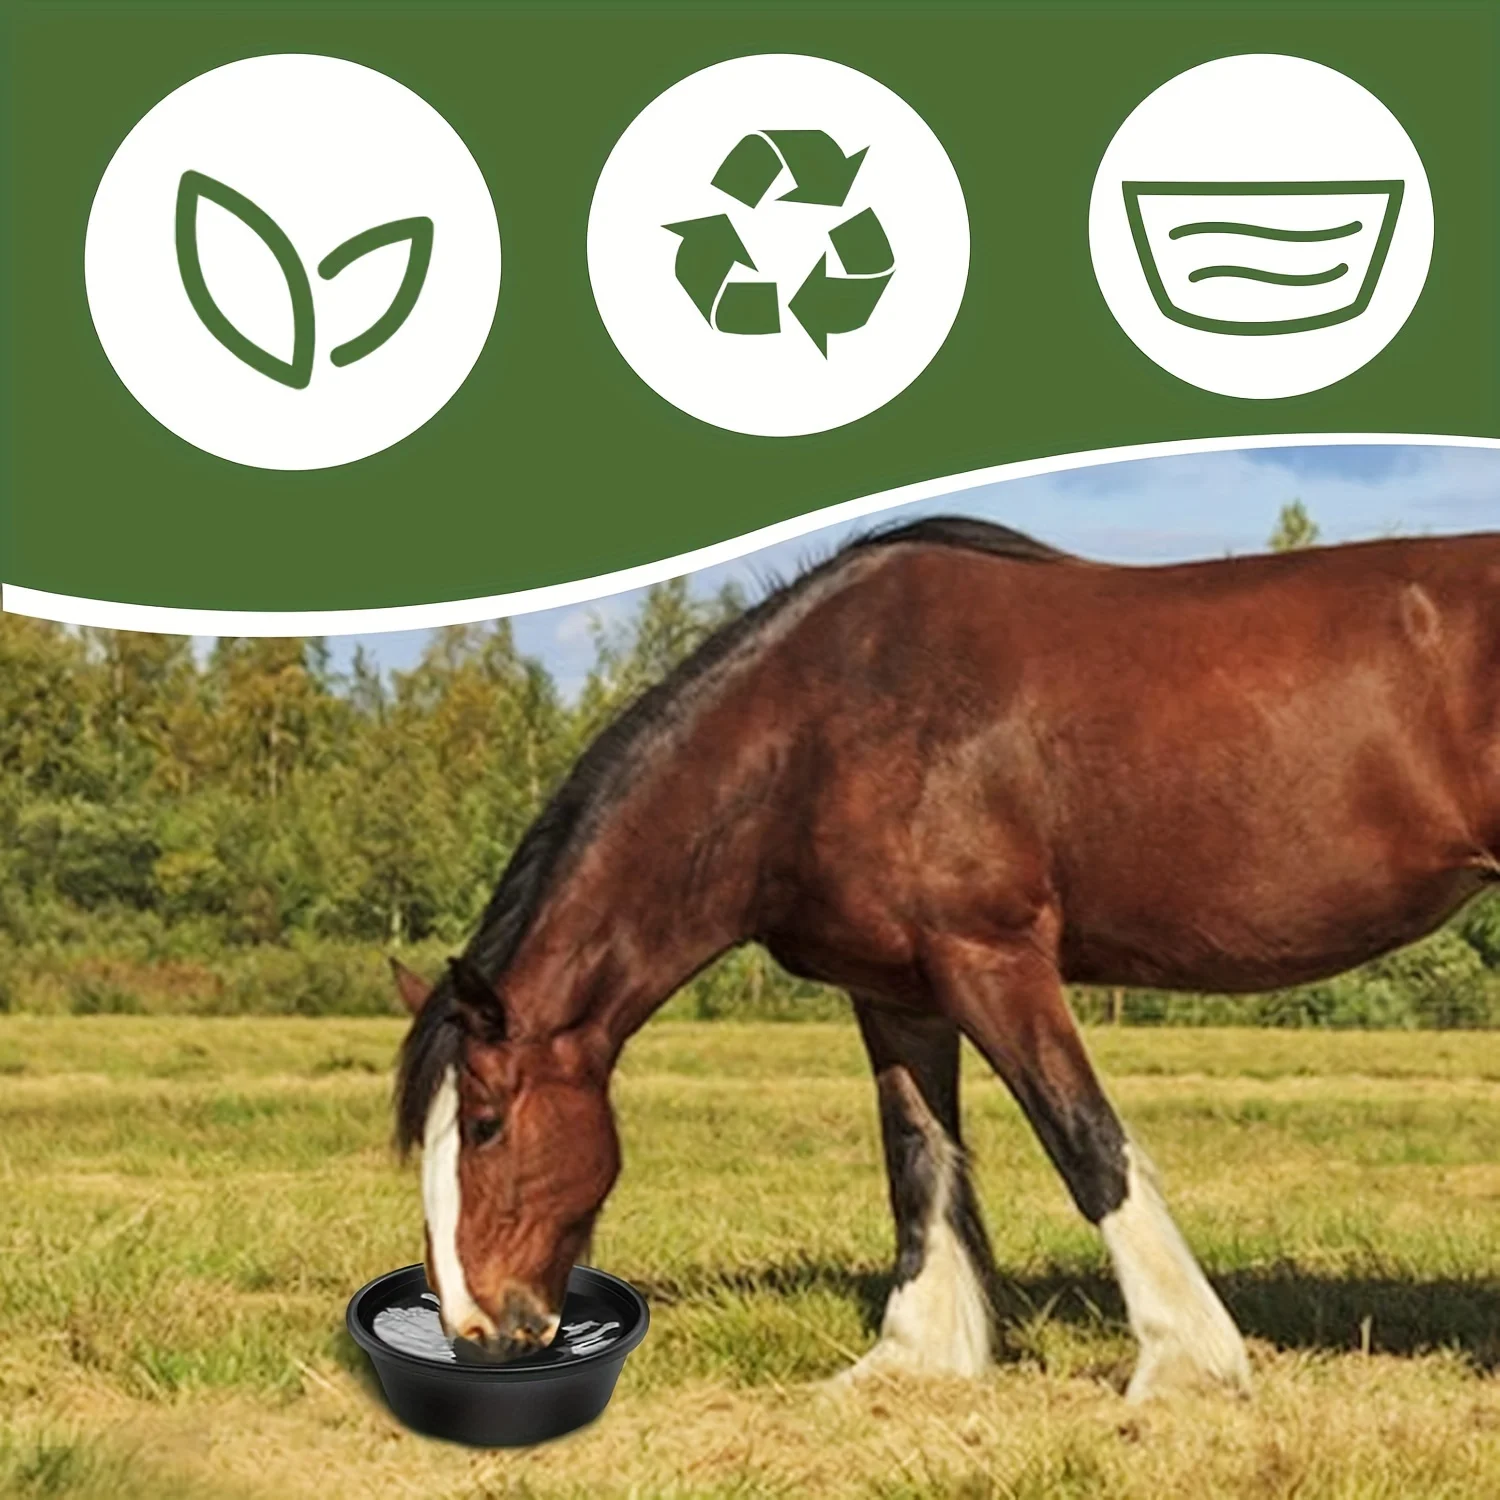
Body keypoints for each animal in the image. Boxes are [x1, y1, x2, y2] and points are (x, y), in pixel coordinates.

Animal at [390, 516, 1500, 1401]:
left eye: (483, 1125)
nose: (478, 1332)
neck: (815, 728)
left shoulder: (991, 959)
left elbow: (1086, 1143)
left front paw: (1185, 1359)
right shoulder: (897, 991)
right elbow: (919, 1161)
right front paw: (915, 1356)